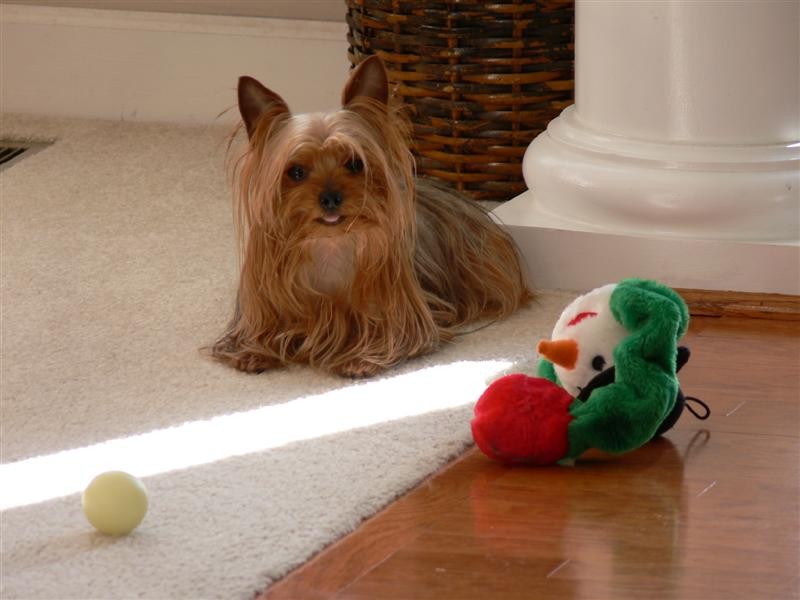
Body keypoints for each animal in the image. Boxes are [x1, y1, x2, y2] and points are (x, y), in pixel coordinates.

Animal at [212, 55, 532, 376]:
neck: (329, 243)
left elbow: (396, 337)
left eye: (355, 164)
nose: (330, 198)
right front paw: (252, 353)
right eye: (296, 172)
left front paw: (360, 359)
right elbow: (259, 334)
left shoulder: (404, 316)